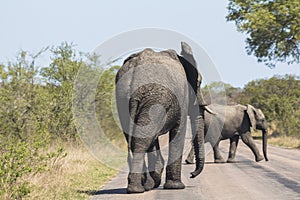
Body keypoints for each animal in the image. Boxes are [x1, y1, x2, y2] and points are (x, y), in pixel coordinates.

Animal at [115, 42, 209, 194]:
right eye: (199, 83)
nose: (192, 174)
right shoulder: (181, 98)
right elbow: (178, 131)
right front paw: (175, 187)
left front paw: (154, 181)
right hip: (154, 97)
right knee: (143, 138)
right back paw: (137, 189)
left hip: (124, 97)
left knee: (138, 136)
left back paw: (142, 185)